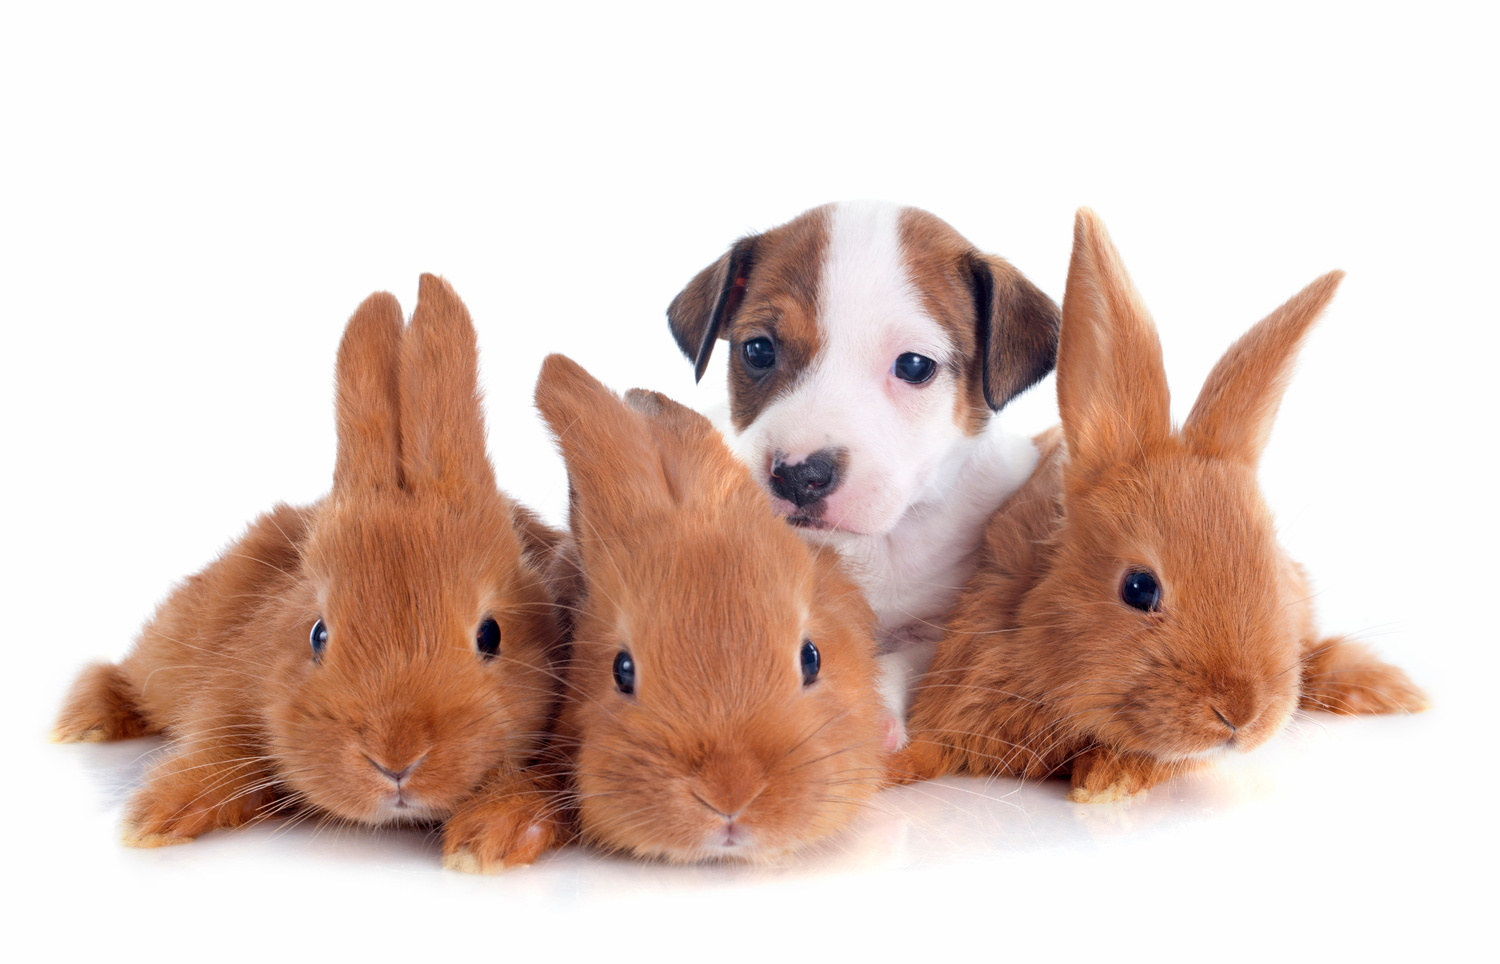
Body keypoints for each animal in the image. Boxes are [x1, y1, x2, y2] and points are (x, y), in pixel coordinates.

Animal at [52, 275, 567, 857]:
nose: (396, 761)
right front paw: (157, 815)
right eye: (318, 634)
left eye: (490, 635)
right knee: (118, 675)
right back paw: (83, 721)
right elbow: (215, 751)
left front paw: (485, 838)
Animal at [669, 199, 1068, 743]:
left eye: (915, 365)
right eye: (758, 350)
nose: (799, 475)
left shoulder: (949, 627)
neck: (873, 543)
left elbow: (905, 659)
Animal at [888, 211, 1428, 809]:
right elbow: (925, 743)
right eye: (1139, 588)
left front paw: (1105, 780)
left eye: (1268, 573)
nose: (1241, 713)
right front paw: (886, 766)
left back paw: (1390, 688)